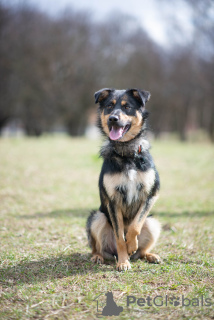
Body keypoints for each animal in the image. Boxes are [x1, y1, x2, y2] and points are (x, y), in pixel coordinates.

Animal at [86, 87, 161, 270]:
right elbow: (120, 236)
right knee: (97, 248)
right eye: (109, 106)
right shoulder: (113, 200)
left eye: (127, 107)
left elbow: (134, 226)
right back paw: (99, 257)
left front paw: (131, 245)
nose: (113, 118)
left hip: (153, 222)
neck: (127, 152)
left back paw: (150, 255)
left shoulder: (151, 194)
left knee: (141, 252)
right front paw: (123, 261)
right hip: (97, 218)